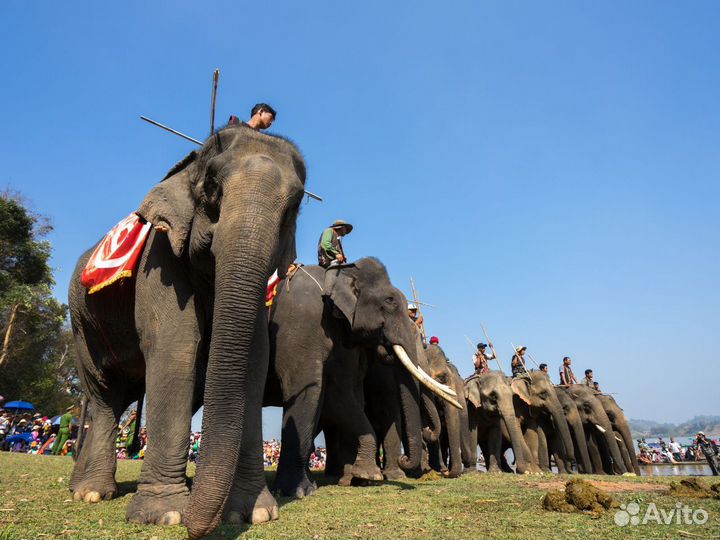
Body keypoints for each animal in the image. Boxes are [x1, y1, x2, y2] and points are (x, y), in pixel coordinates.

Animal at [66, 124, 306, 536]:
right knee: (105, 396)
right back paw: (91, 493)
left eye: (294, 206)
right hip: (82, 325)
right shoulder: (160, 260)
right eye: (211, 186)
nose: (198, 528)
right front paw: (164, 515)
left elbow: (254, 362)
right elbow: (174, 348)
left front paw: (253, 513)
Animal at [262, 260, 456, 500]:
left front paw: (361, 478)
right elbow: (312, 389)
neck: (335, 275)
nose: (427, 432)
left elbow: (342, 393)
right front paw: (300, 491)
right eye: (389, 302)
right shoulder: (302, 323)